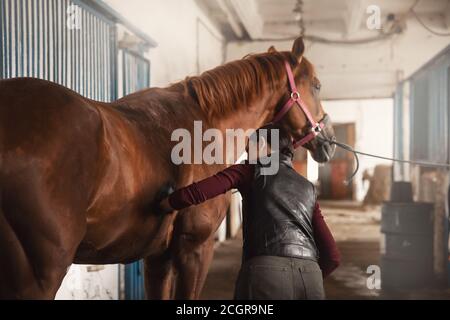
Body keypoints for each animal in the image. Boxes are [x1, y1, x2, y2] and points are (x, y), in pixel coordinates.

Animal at [0, 38, 334, 300]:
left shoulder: (157, 257)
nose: (329, 140)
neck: (206, 125)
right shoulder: (195, 249)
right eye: (317, 85)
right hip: (40, 276)